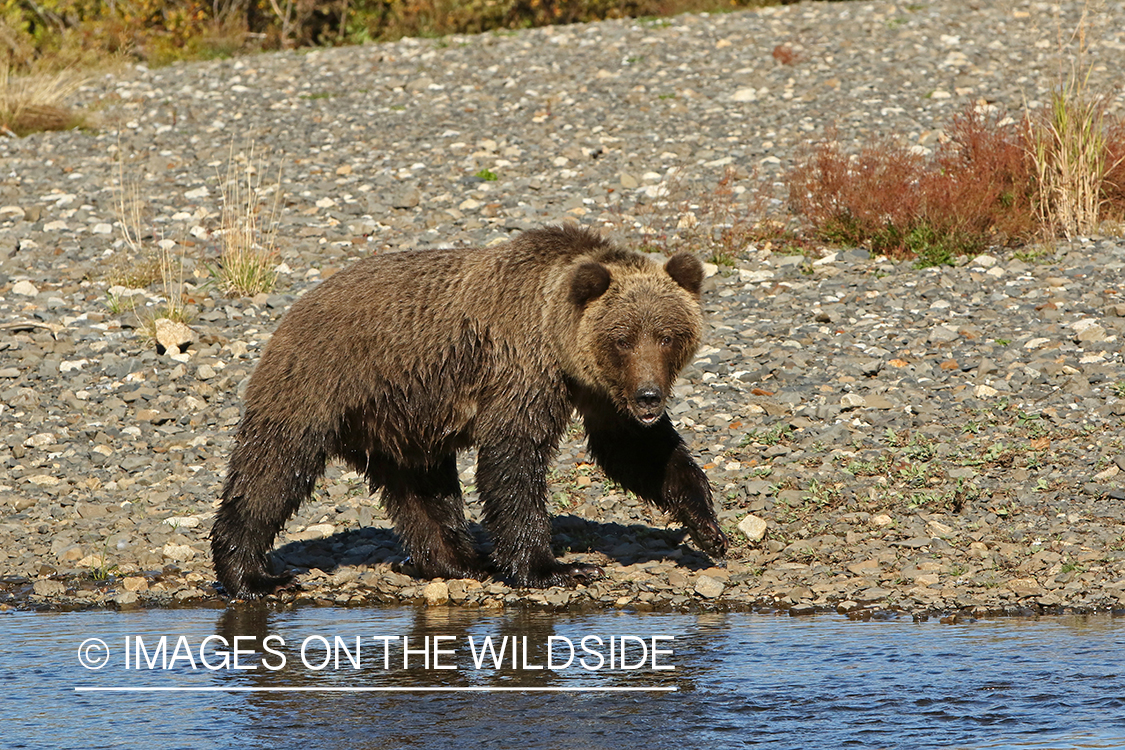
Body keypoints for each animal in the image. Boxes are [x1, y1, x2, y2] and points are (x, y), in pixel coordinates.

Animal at [211, 222, 729, 598]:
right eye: (622, 338)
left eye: (667, 335)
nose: (649, 397)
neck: (560, 345)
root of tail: (294, 307)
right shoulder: (523, 370)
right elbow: (514, 459)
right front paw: (554, 568)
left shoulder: (601, 394)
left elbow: (637, 452)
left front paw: (708, 530)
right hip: (323, 381)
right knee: (274, 468)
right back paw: (253, 575)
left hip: (403, 418)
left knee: (422, 488)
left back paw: (460, 560)